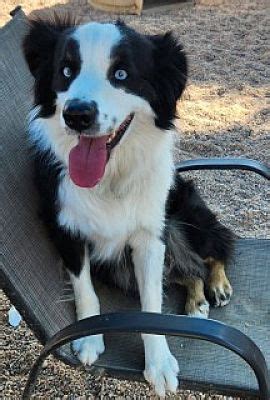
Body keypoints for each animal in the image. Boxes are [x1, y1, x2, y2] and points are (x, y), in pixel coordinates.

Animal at [23, 16, 234, 396]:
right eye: (66, 70)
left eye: (121, 74)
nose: (77, 115)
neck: (110, 177)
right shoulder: (65, 226)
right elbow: (84, 287)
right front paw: (90, 338)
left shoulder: (150, 238)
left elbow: (152, 302)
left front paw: (159, 364)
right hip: (122, 268)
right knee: (187, 270)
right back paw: (197, 300)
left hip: (183, 216)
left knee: (211, 251)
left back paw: (216, 286)